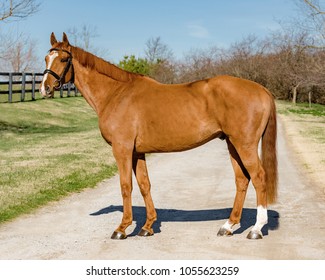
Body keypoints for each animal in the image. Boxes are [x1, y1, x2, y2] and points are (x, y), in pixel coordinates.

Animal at [41, 32, 278, 238]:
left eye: (64, 58)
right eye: (46, 58)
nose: (45, 88)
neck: (116, 94)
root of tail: (263, 90)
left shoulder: (122, 149)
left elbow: (126, 186)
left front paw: (122, 228)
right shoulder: (137, 153)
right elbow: (144, 185)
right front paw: (147, 227)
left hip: (244, 144)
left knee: (259, 178)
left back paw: (256, 229)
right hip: (232, 144)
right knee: (242, 180)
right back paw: (228, 226)